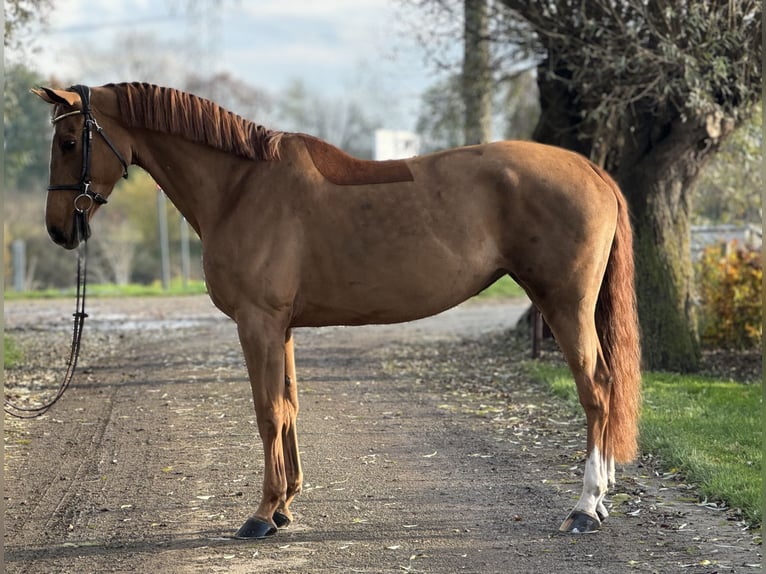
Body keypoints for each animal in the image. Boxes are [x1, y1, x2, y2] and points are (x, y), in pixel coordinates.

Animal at [31, 84, 640, 540]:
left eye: (69, 140)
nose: (59, 230)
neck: (240, 186)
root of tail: (592, 171)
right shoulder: (282, 328)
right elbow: (289, 408)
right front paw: (284, 506)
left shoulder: (257, 323)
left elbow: (266, 412)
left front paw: (261, 515)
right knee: (605, 389)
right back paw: (601, 500)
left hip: (565, 304)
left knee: (596, 389)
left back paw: (584, 506)